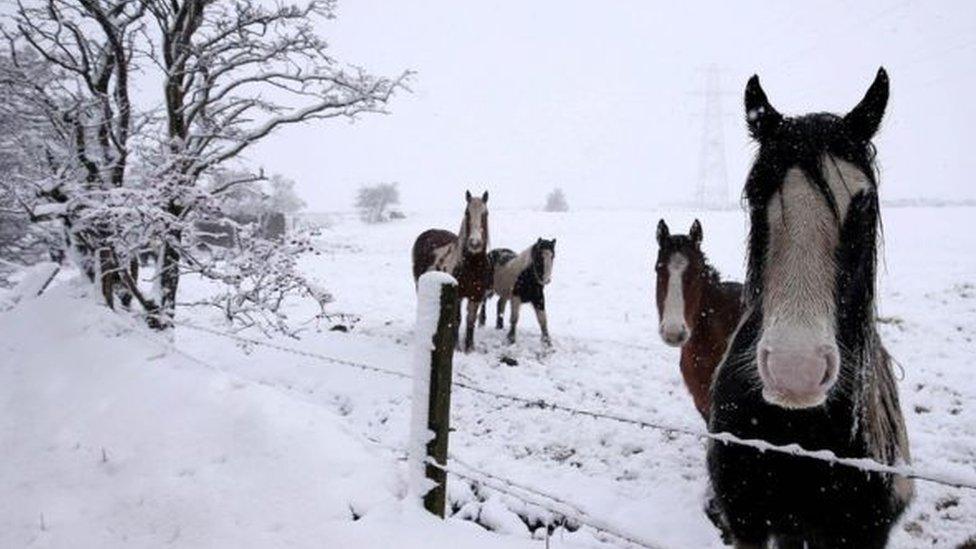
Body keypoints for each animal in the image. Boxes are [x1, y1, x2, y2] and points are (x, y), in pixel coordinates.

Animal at [412, 188, 492, 352]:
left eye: (485, 213)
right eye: (467, 213)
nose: (475, 243)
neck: (472, 265)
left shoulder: (476, 296)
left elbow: (471, 320)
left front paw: (470, 347)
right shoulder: (458, 295)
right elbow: (457, 320)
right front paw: (456, 347)